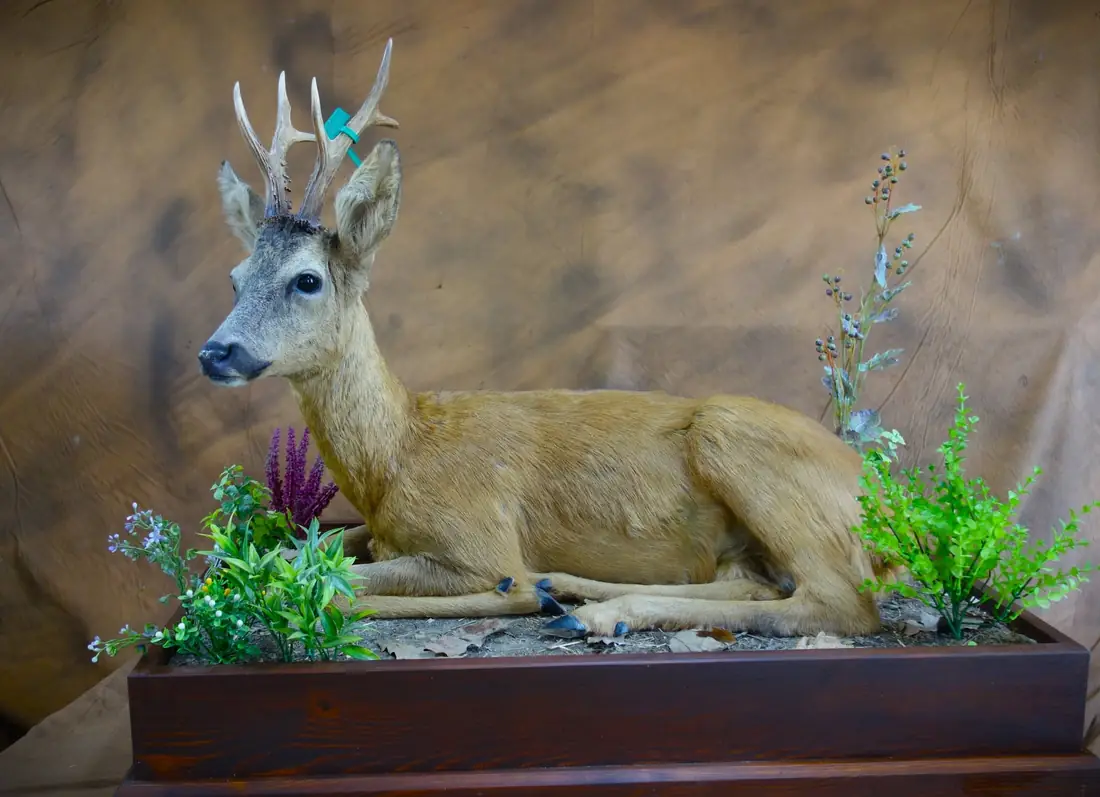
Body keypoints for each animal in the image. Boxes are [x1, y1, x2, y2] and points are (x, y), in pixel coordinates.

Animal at [199, 39, 901, 641]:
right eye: (234, 278)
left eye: (307, 278)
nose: (215, 352)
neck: (396, 458)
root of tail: (885, 505)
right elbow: (290, 553)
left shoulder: (478, 539)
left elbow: (317, 584)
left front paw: (519, 592)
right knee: (753, 582)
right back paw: (580, 595)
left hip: (739, 445)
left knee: (839, 603)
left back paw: (583, 607)